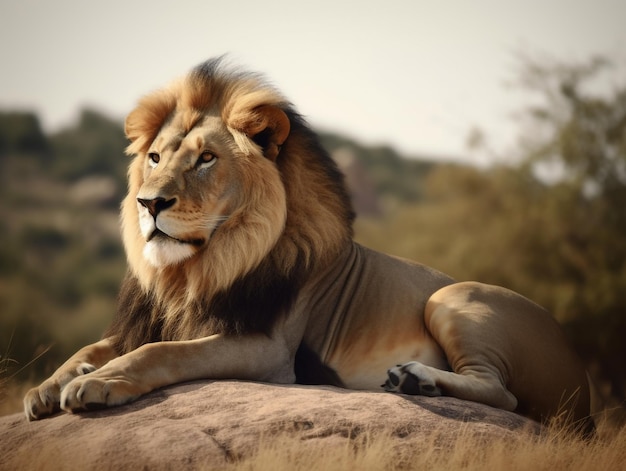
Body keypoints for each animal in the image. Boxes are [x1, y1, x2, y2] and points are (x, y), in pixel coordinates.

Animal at [20, 56, 596, 432]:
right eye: (156, 158)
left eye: (206, 159)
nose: (149, 203)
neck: (195, 271)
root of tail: (585, 382)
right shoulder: (155, 318)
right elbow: (94, 347)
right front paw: (47, 386)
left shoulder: (268, 350)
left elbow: (162, 353)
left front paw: (96, 384)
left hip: (450, 296)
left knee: (504, 393)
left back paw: (414, 378)